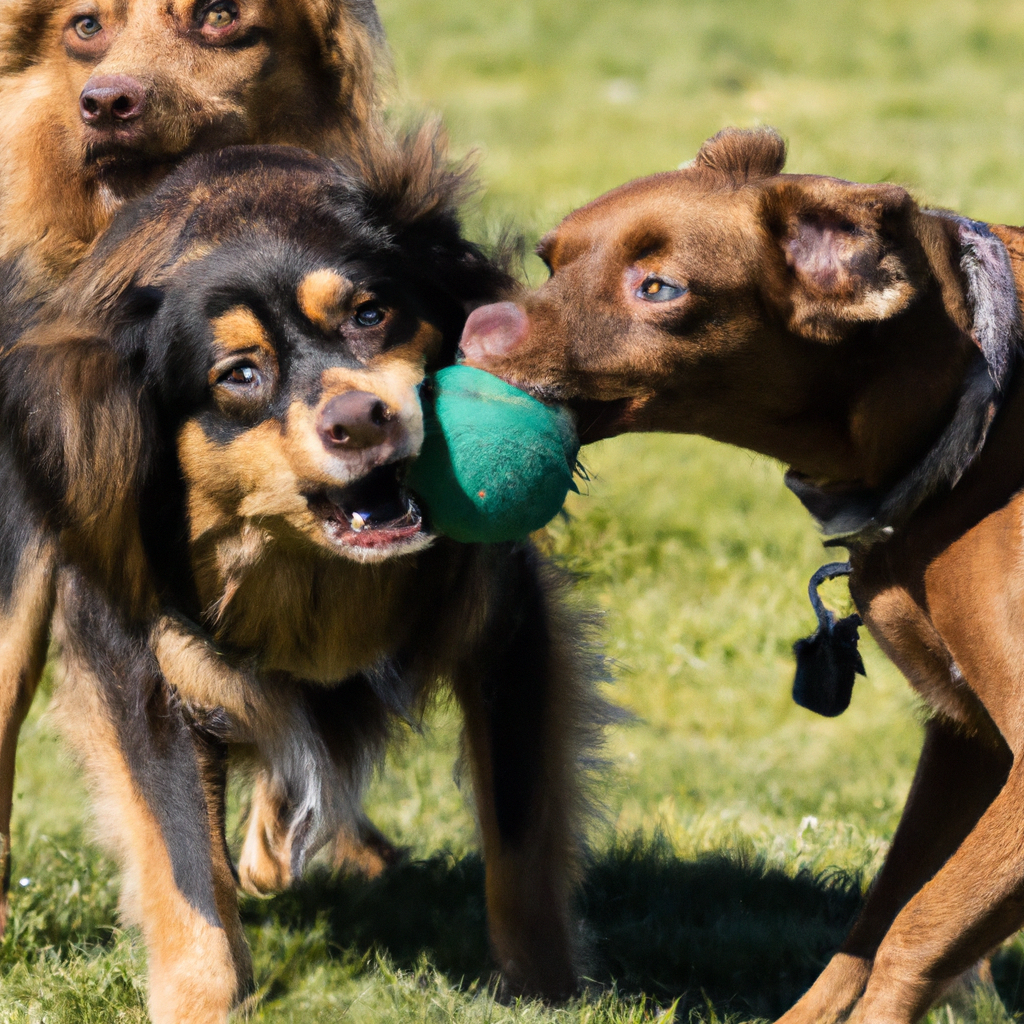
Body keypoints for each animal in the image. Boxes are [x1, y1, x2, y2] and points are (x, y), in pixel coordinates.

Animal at [2, 138, 606, 1024]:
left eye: (369, 314)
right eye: (239, 375)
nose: (358, 422)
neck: (309, 567)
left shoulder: (506, 621)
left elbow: (520, 833)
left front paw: (544, 993)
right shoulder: (138, 654)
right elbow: (184, 867)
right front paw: (200, 1001)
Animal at [462, 125, 1024, 1024]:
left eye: (659, 288)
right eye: (551, 259)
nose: (469, 333)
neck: (967, 412)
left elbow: (918, 929)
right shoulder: (967, 739)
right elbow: (872, 924)